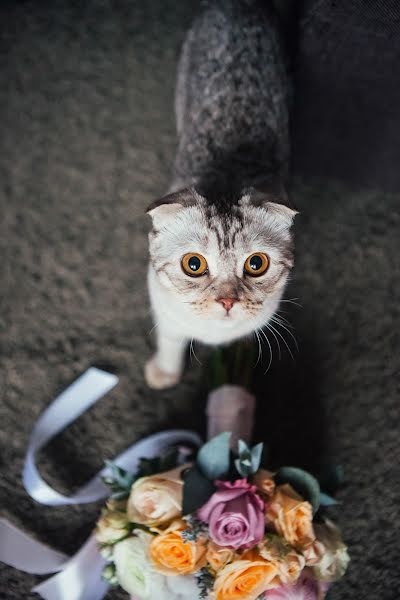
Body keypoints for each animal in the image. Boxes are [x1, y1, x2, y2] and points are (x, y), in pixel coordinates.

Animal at [145, 0, 296, 390]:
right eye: (193, 264)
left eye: (256, 264)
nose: (227, 301)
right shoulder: (163, 308)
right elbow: (170, 341)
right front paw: (164, 372)